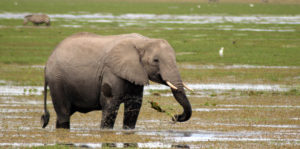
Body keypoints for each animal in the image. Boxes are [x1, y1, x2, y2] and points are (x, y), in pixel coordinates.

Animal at [41, 32, 192, 129]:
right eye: (156, 60)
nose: (174, 117)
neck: (143, 41)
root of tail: (48, 61)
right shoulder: (111, 72)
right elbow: (110, 106)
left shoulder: (135, 73)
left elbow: (133, 106)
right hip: (57, 81)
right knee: (64, 114)